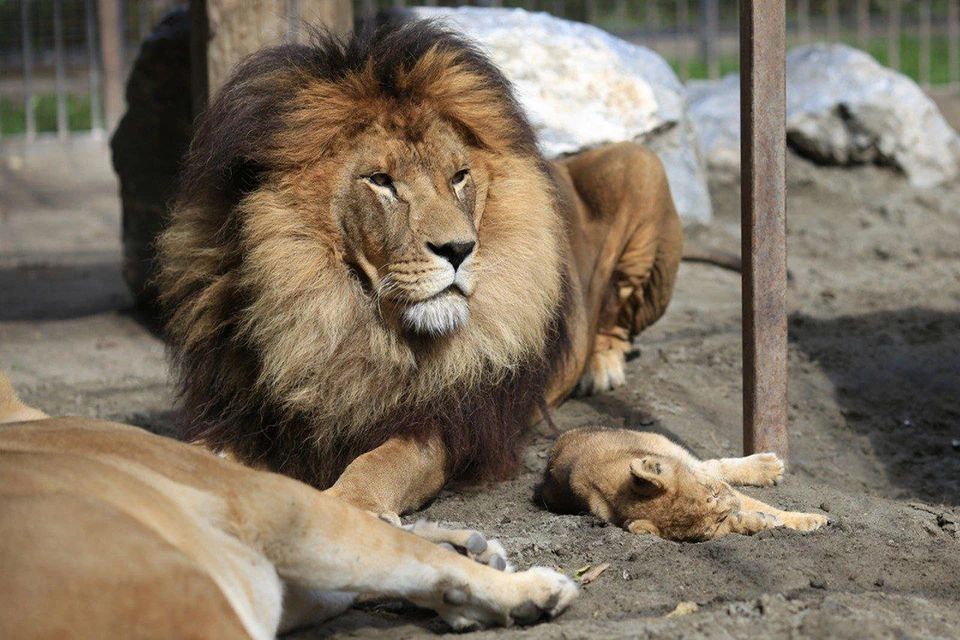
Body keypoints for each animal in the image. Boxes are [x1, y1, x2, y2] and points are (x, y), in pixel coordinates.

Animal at [159, 21, 684, 520]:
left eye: (459, 176)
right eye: (381, 181)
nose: (459, 249)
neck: (340, 316)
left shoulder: (445, 424)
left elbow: (380, 464)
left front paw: (349, 505)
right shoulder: (248, 413)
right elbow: (190, 453)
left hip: (640, 163)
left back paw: (602, 366)